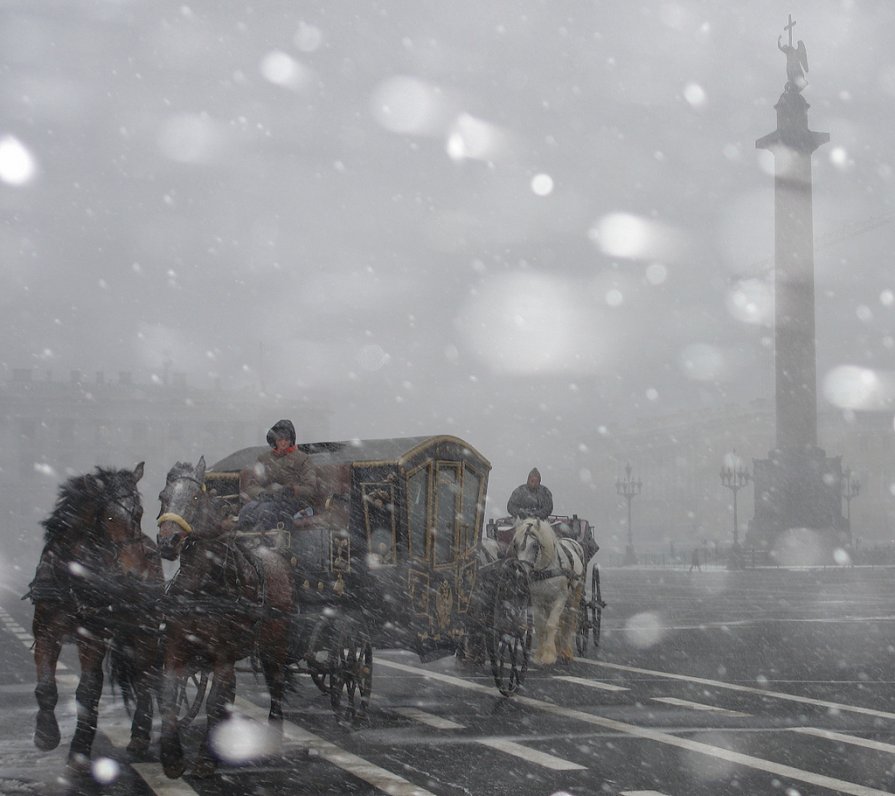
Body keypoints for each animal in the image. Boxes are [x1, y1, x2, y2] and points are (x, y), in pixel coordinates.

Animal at [28, 464, 163, 768]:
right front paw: (46, 736)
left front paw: (79, 749)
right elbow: (46, 686)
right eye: (108, 516)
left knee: (145, 679)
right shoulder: (45, 630)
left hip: (145, 632)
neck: (74, 577)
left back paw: (140, 738)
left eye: (139, 513)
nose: (135, 576)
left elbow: (89, 689)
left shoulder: (93, 636)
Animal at [156, 458, 292, 776]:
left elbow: (216, 700)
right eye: (162, 497)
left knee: (276, 686)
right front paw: (172, 756)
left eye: (195, 497)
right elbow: (170, 696)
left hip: (275, 648)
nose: (168, 541)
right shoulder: (175, 649)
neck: (203, 588)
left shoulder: (223, 655)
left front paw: (206, 759)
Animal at [512, 516, 588, 664]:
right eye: (515, 545)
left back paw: (566, 651)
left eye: (534, 545)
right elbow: (541, 625)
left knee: (570, 619)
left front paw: (548, 655)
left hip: (575, 594)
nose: (521, 572)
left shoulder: (560, 598)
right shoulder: (537, 600)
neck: (545, 569)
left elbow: (552, 624)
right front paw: (540, 654)